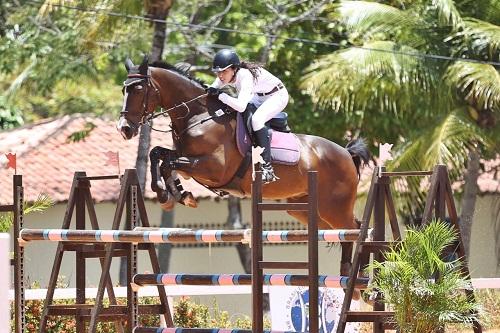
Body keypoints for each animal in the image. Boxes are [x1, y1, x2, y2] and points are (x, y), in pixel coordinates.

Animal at [116, 56, 368, 280]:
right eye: (123, 90)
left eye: (138, 89)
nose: (124, 129)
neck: (199, 117)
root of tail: (346, 153)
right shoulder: (186, 159)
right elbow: (158, 155)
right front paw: (174, 194)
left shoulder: (213, 169)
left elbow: (168, 162)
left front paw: (170, 193)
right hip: (305, 209)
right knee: (341, 233)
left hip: (334, 206)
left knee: (354, 228)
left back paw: (358, 277)